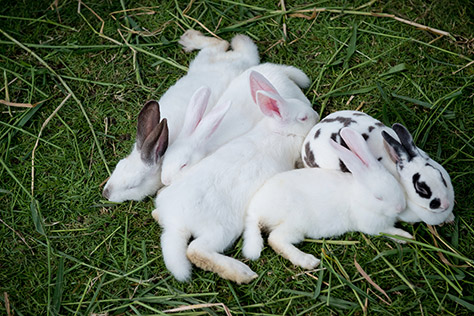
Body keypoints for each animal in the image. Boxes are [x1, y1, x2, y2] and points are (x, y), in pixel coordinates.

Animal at [102, 30, 262, 202]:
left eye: (132, 186)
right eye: (119, 165)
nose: (106, 193)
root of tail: (246, 58)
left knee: (221, 43)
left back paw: (189, 39)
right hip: (202, 62)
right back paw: (188, 39)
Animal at [243, 127, 412, 268]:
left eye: (395, 183)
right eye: (378, 197)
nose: (401, 207)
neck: (358, 196)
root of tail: (255, 212)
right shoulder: (373, 226)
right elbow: (389, 231)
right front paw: (406, 237)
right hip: (296, 223)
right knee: (276, 240)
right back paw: (309, 262)